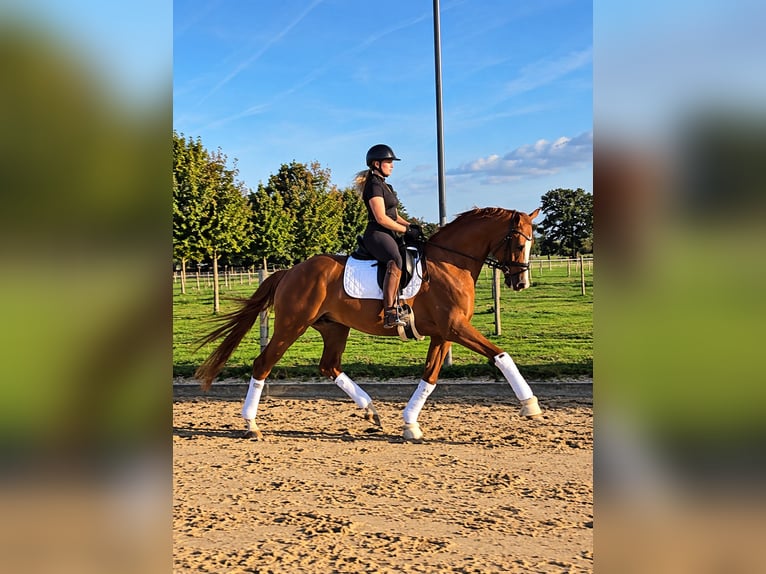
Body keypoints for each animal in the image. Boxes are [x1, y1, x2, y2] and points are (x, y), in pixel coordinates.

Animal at [194, 207, 543, 442]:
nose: (521, 282)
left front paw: (410, 424)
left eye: (531, 243)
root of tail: (291, 271)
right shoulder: (456, 328)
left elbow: (430, 377)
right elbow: (500, 355)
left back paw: (370, 410)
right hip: (292, 326)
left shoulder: (444, 333)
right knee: (263, 364)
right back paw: (251, 425)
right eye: (518, 243)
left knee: (329, 366)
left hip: (334, 327)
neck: (450, 263)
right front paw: (531, 406)